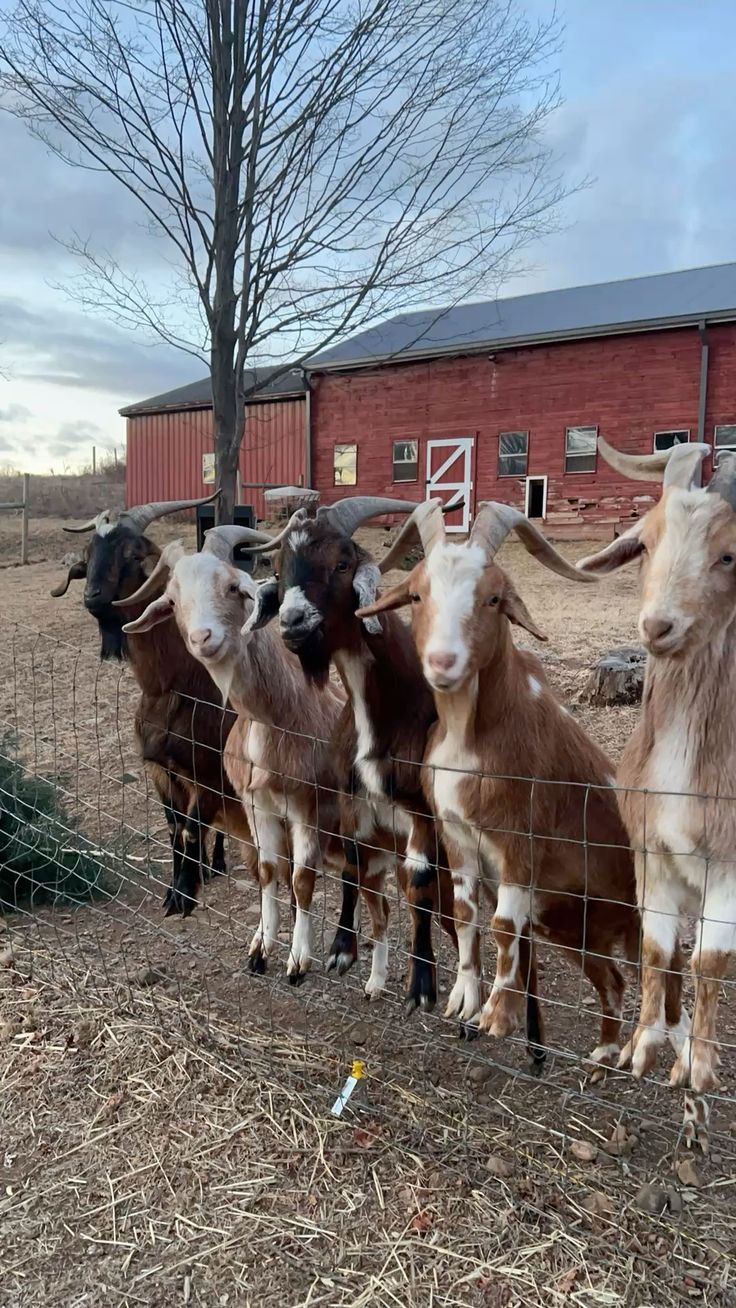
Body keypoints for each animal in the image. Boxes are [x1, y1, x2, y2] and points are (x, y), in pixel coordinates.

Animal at [52, 496, 259, 915]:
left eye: (133, 555)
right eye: (88, 553)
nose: (93, 597)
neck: (173, 689)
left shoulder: (205, 770)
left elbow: (192, 828)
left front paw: (183, 897)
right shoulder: (161, 771)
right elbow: (174, 828)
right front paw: (174, 891)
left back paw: (216, 862)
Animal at [120, 525, 349, 982]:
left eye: (231, 587)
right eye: (173, 602)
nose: (202, 638)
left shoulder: (305, 803)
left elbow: (302, 878)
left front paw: (298, 961)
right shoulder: (253, 803)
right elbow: (266, 870)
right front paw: (260, 949)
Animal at [357, 499, 640, 1066]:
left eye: (492, 598)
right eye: (417, 594)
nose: (442, 663)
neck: (473, 739)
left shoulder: (519, 842)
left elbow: (504, 924)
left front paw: (497, 1016)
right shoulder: (456, 833)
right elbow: (467, 913)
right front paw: (464, 998)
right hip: (571, 924)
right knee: (613, 979)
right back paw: (603, 1057)